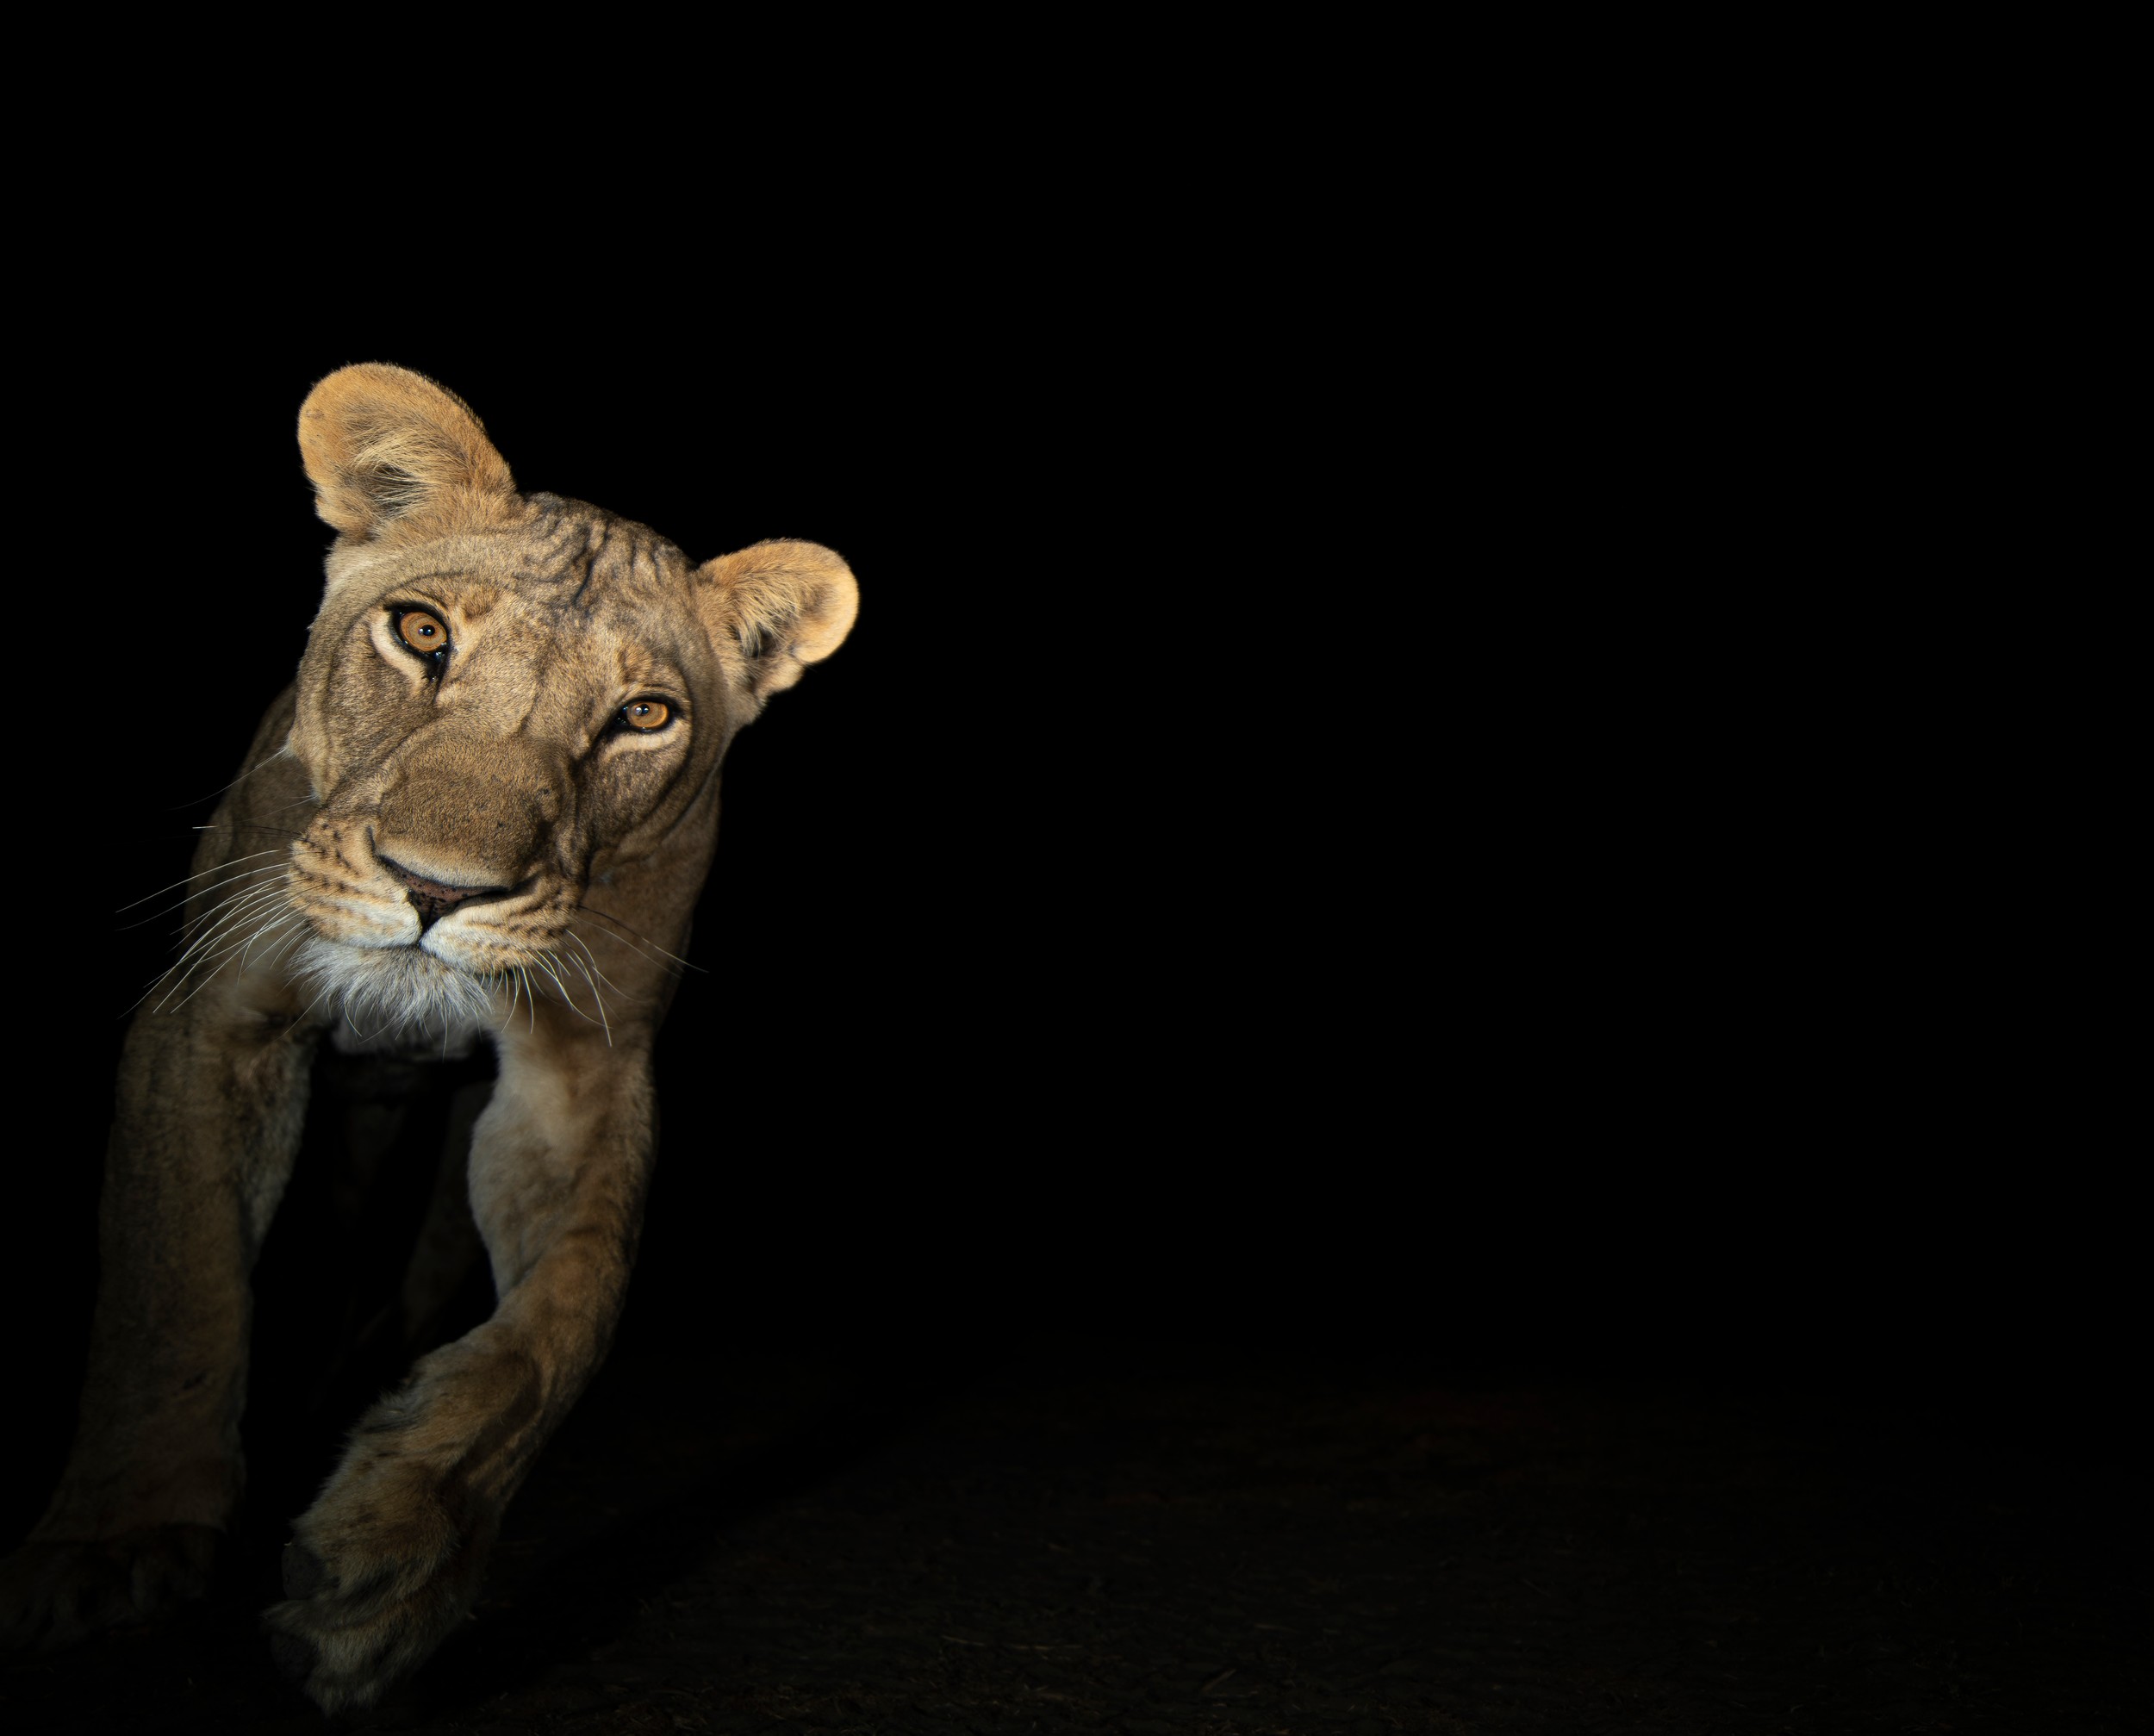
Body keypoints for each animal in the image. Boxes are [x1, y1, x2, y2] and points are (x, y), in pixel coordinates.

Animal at [0, 364, 857, 1710]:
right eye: (420, 634)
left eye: (643, 715)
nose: (436, 891)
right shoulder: (211, 1014)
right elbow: (174, 1284)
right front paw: (118, 1537)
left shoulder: (578, 1078)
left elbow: (561, 1321)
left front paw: (396, 1558)